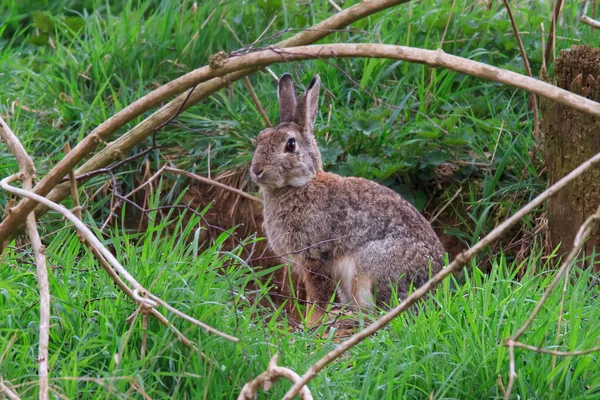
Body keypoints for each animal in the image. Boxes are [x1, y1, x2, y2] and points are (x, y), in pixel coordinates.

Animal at [250, 72, 446, 322]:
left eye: (290, 144)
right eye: (260, 138)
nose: (257, 169)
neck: (301, 184)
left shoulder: (316, 255)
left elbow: (318, 295)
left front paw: (311, 322)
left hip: (371, 266)